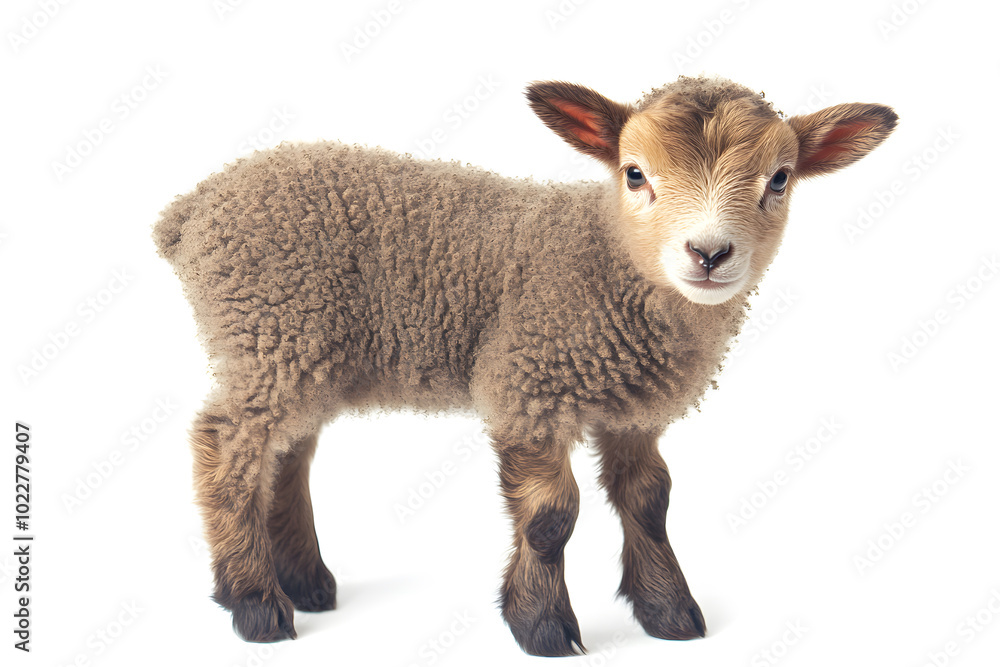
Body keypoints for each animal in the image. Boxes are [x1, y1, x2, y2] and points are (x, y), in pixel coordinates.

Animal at [153, 75, 897, 656]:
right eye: (634, 173)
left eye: (780, 179)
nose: (709, 254)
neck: (606, 260)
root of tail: (192, 209)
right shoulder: (528, 382)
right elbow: (550, 517)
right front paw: (541, 625)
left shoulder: (633, 411)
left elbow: (650, 500)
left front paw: (668, 612)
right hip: (270, 329)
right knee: (227, 446)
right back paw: (254, 599)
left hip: (300, 350)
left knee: (286, 454)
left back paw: (304, 581)